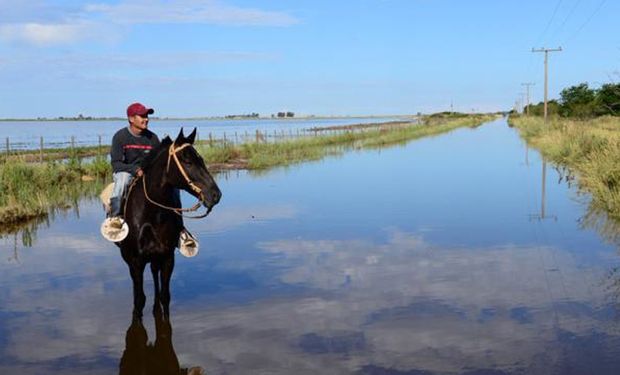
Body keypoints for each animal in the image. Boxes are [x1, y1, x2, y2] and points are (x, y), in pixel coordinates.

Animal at [117, 130, 222, 320]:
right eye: (187, 161)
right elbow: (139, 300)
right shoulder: (135, 262)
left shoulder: (167, 257)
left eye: (201, 159)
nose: (215, 195)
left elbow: (165, 296)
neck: (152, 215)